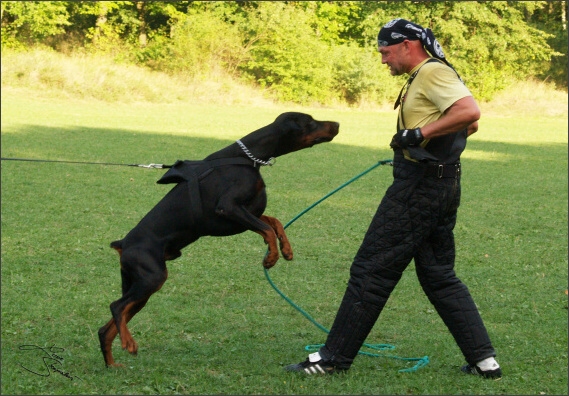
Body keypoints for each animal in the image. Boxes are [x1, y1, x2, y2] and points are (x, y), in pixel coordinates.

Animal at [98, 111, 338, 366]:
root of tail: (123, 244)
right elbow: (267, 227)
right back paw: (129, 344)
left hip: (140, 288)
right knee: (116, 306)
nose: (337, 124)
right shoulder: (228, 207)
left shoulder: (247, 212)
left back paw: (113, 364)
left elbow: (274, 223)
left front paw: (286, 249)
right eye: (310, 121)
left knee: (108, 327)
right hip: (152, 278)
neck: (247, 157)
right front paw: (271, 257)